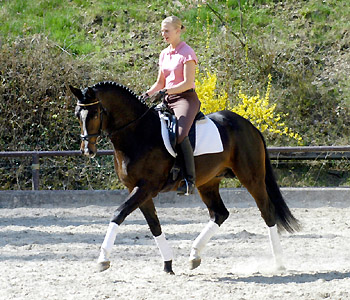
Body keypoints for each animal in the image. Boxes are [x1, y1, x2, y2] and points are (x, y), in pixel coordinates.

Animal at [69, 81, 300, 274]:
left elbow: (118, 214)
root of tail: (248, 125)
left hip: (252, 178)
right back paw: (194, 255)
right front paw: (168, 264)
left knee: (267, 212)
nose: (87, 150)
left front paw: (102, 259)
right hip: (208, 183)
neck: (137, 133)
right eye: (77, 114)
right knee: (220, 214)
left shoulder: (146, 187)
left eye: (95, 113)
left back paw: (278, 263)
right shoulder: (136, 189)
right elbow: (154, 225)